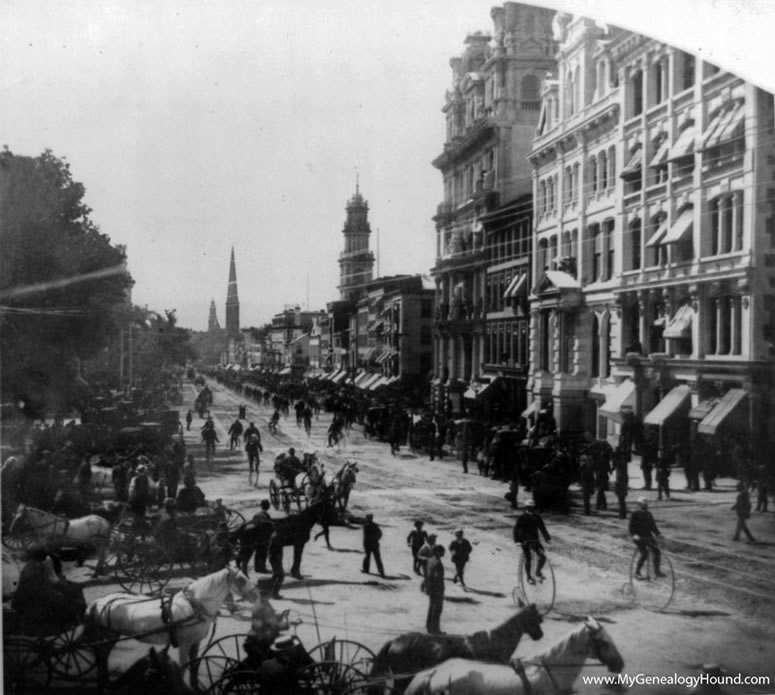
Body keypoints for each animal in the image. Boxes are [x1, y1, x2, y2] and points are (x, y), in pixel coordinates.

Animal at [84, 564, 258, 692]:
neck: (195, 605)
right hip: (108, 636)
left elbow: (194, 666)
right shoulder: (184, 644)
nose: (256, 596)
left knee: (102, 658)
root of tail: (99, 601)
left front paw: (195, 686)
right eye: (241, 580)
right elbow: (183, 668)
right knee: (101, 657)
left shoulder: (195, 643)